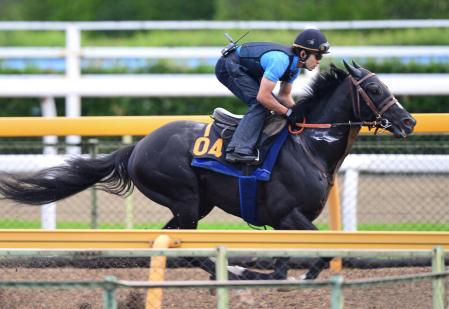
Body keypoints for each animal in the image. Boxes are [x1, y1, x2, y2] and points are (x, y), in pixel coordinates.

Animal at [0, 60, 414, 280]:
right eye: (375, 89)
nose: (408, 121)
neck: (309, 146)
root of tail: (138, 146)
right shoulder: (288, 215)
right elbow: (314, 257)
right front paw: (282, 275)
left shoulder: (288, 220)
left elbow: (296, 261)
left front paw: (286, 276)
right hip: (185, 199)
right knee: (184, 247)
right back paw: (231, 271)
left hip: (194, 206)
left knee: (170, 243)